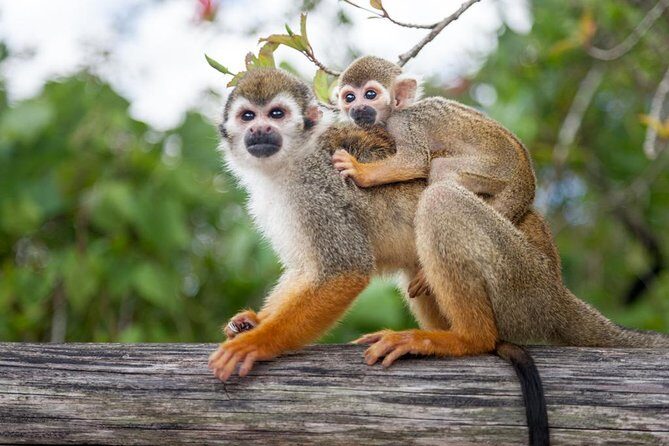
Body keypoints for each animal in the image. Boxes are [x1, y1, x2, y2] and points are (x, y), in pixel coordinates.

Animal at [208, 67, 668, 445]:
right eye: (248, 116)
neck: (288, 164)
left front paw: (256, 343)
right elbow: (307, 269)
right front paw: (252, 321)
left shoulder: (316, 187)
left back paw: (465, 339)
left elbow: (343, 270)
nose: (260, 131)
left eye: (277, 114)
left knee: (441, 200)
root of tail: (557, 291)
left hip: (521, 285)